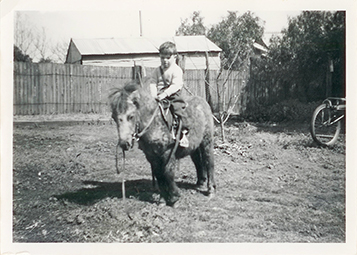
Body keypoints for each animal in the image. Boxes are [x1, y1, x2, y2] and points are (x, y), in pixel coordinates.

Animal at [108, 78, 214, 206]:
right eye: (114, 117)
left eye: (131, 116)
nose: (124, 143)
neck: (154, 123)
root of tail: (204, 103)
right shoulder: (151, 155)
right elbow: (159, 174)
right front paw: (164, 198)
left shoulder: (168, 152)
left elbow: (167, 172)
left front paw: (175, 197)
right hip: (194, 146)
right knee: (198, 161)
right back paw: (200, 183)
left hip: (207, 141)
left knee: (209, 161)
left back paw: (210, 190)